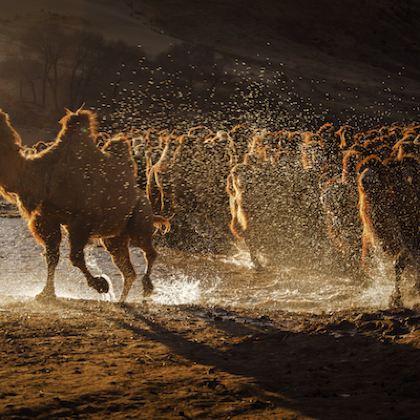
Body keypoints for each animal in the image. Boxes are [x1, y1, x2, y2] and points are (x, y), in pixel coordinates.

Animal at [0, 109, 169, 302]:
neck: (40, 174)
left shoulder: (82, 219)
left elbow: (75, 257)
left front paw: (101, 285)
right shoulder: (47, 218)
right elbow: (52, 256)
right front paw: (46, 293)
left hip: (139, 217)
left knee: (148, 251)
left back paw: (147, 287)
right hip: (115, 237)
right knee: (128, 270)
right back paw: (121, 301)